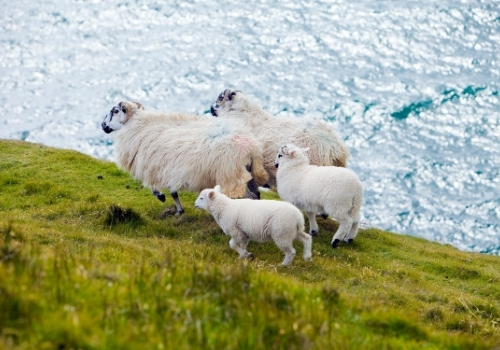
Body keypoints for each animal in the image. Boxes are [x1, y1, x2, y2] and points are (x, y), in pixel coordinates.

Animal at [99, 101, 268, 215]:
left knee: (250, 197)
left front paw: (161, 197)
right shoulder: (168, 169)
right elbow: (173, 192)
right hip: (249, 175)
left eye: (115, 111)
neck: (138, 126)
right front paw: (179, 210)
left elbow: (155, 188)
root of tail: (251, 147)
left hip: (231, 176)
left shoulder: (152, 166)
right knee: (257, 195)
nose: (102, 126)